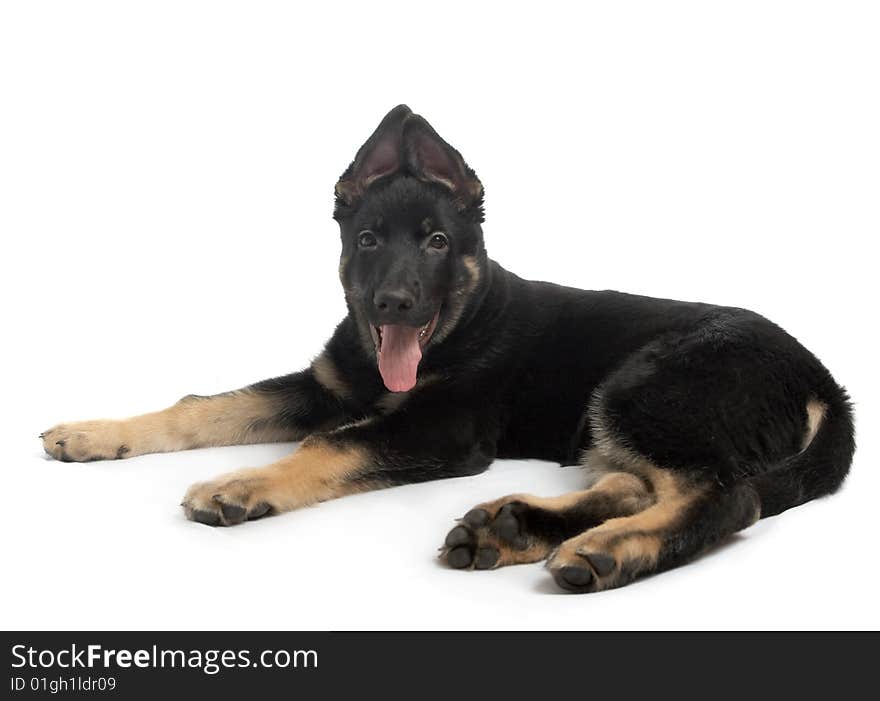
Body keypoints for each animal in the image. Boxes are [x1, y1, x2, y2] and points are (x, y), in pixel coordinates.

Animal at [39, 105, 852, 592]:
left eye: (436, 242)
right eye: (368, 240)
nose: (393, 303)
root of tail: (823, 381)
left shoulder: (443, 427)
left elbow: (332, 444)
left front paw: (243, 483)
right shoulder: (325, 387)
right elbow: (203, 406)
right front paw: (94, 433)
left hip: (641, 385)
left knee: (727, 493)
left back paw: (607, 550)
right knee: (642, 482)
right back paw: (513, 528)